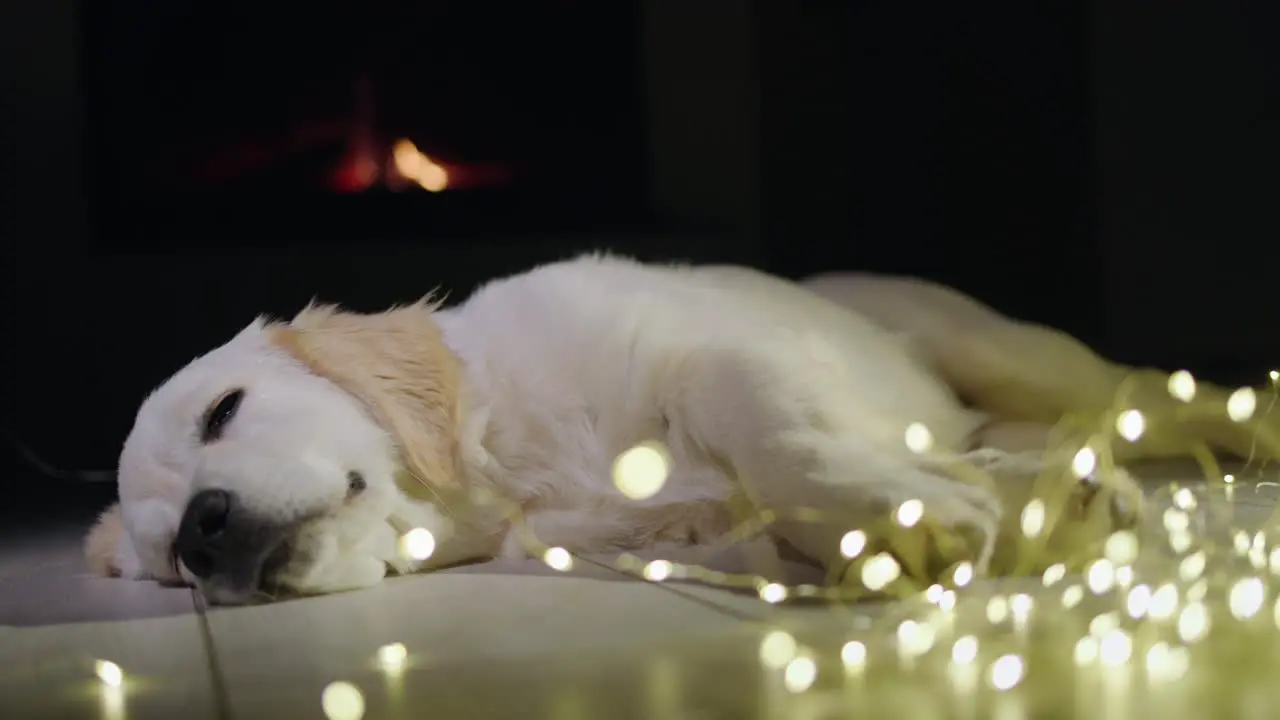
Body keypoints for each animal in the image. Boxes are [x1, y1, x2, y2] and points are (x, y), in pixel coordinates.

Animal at [85, 252, 1264, 599]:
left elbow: (775, 434)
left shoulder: (705, 357)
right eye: (169, 563)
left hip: (1005, 347)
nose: (205, 532)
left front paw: (893, 511)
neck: (513, 475)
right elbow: (775, 521)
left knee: (1157, 390)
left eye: (224, 410)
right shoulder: (679, 534)